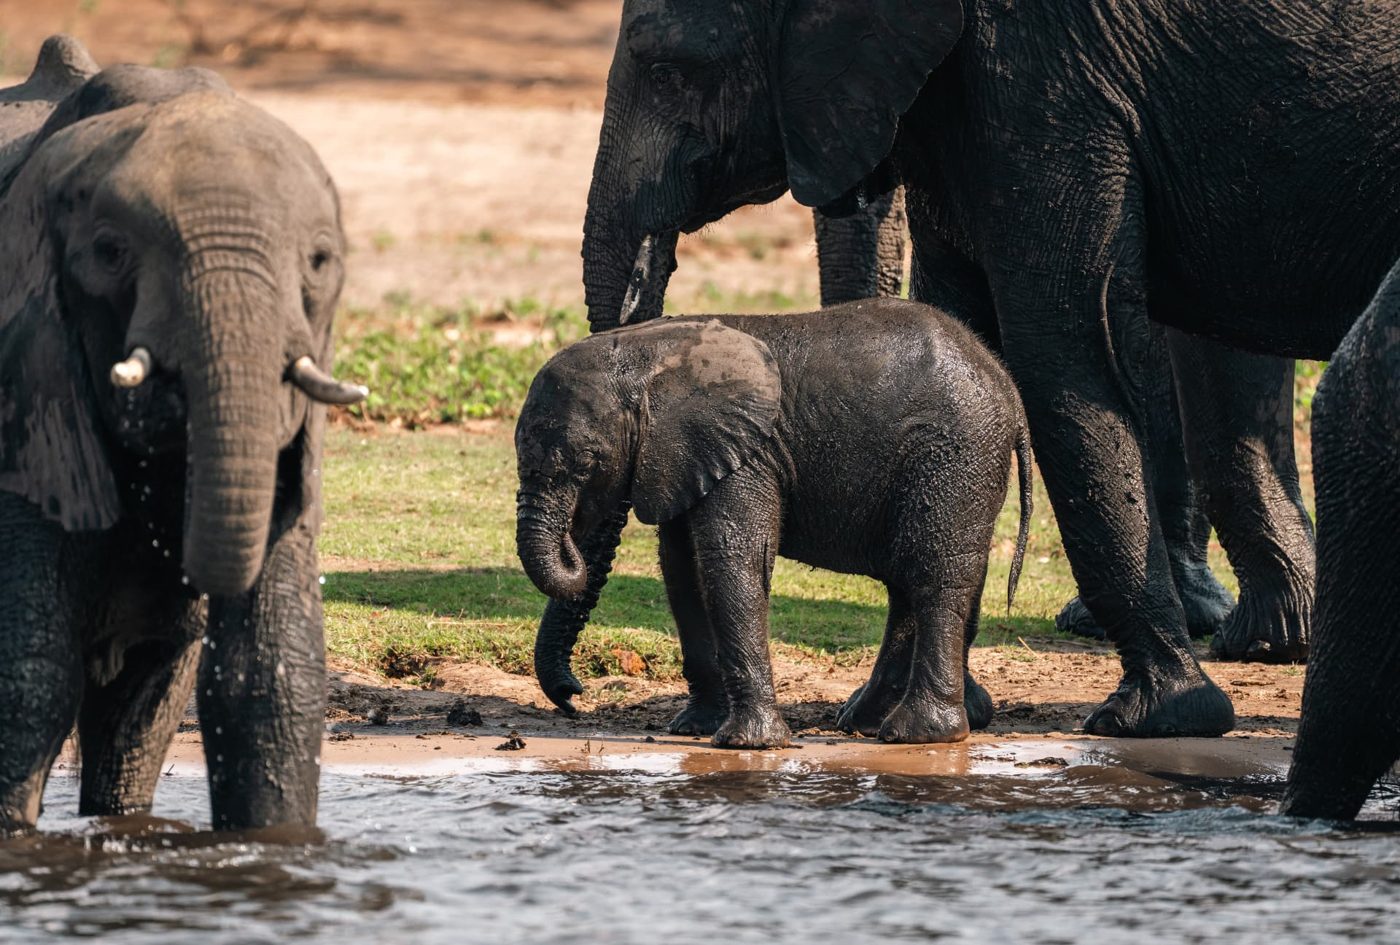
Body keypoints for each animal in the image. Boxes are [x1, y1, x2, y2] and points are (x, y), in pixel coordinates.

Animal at [517, 299, 1031, 746]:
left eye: (587, 463)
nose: (574, 696)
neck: (648, 352)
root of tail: (1008, 389)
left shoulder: (747, 452)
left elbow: (733, 562)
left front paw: (747, 744)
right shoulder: (690, 456)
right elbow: (683, 572)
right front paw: (696, 729)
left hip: (954, 458)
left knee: (933, 578)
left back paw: (919, 734)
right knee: (907, 584)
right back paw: (863, 723)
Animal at [576, 0, 1400, 737]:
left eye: (671, 71)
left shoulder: (1051, 84)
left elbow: (1062, 356)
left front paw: (1159, 718)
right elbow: (963, 320)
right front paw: (886, 719)